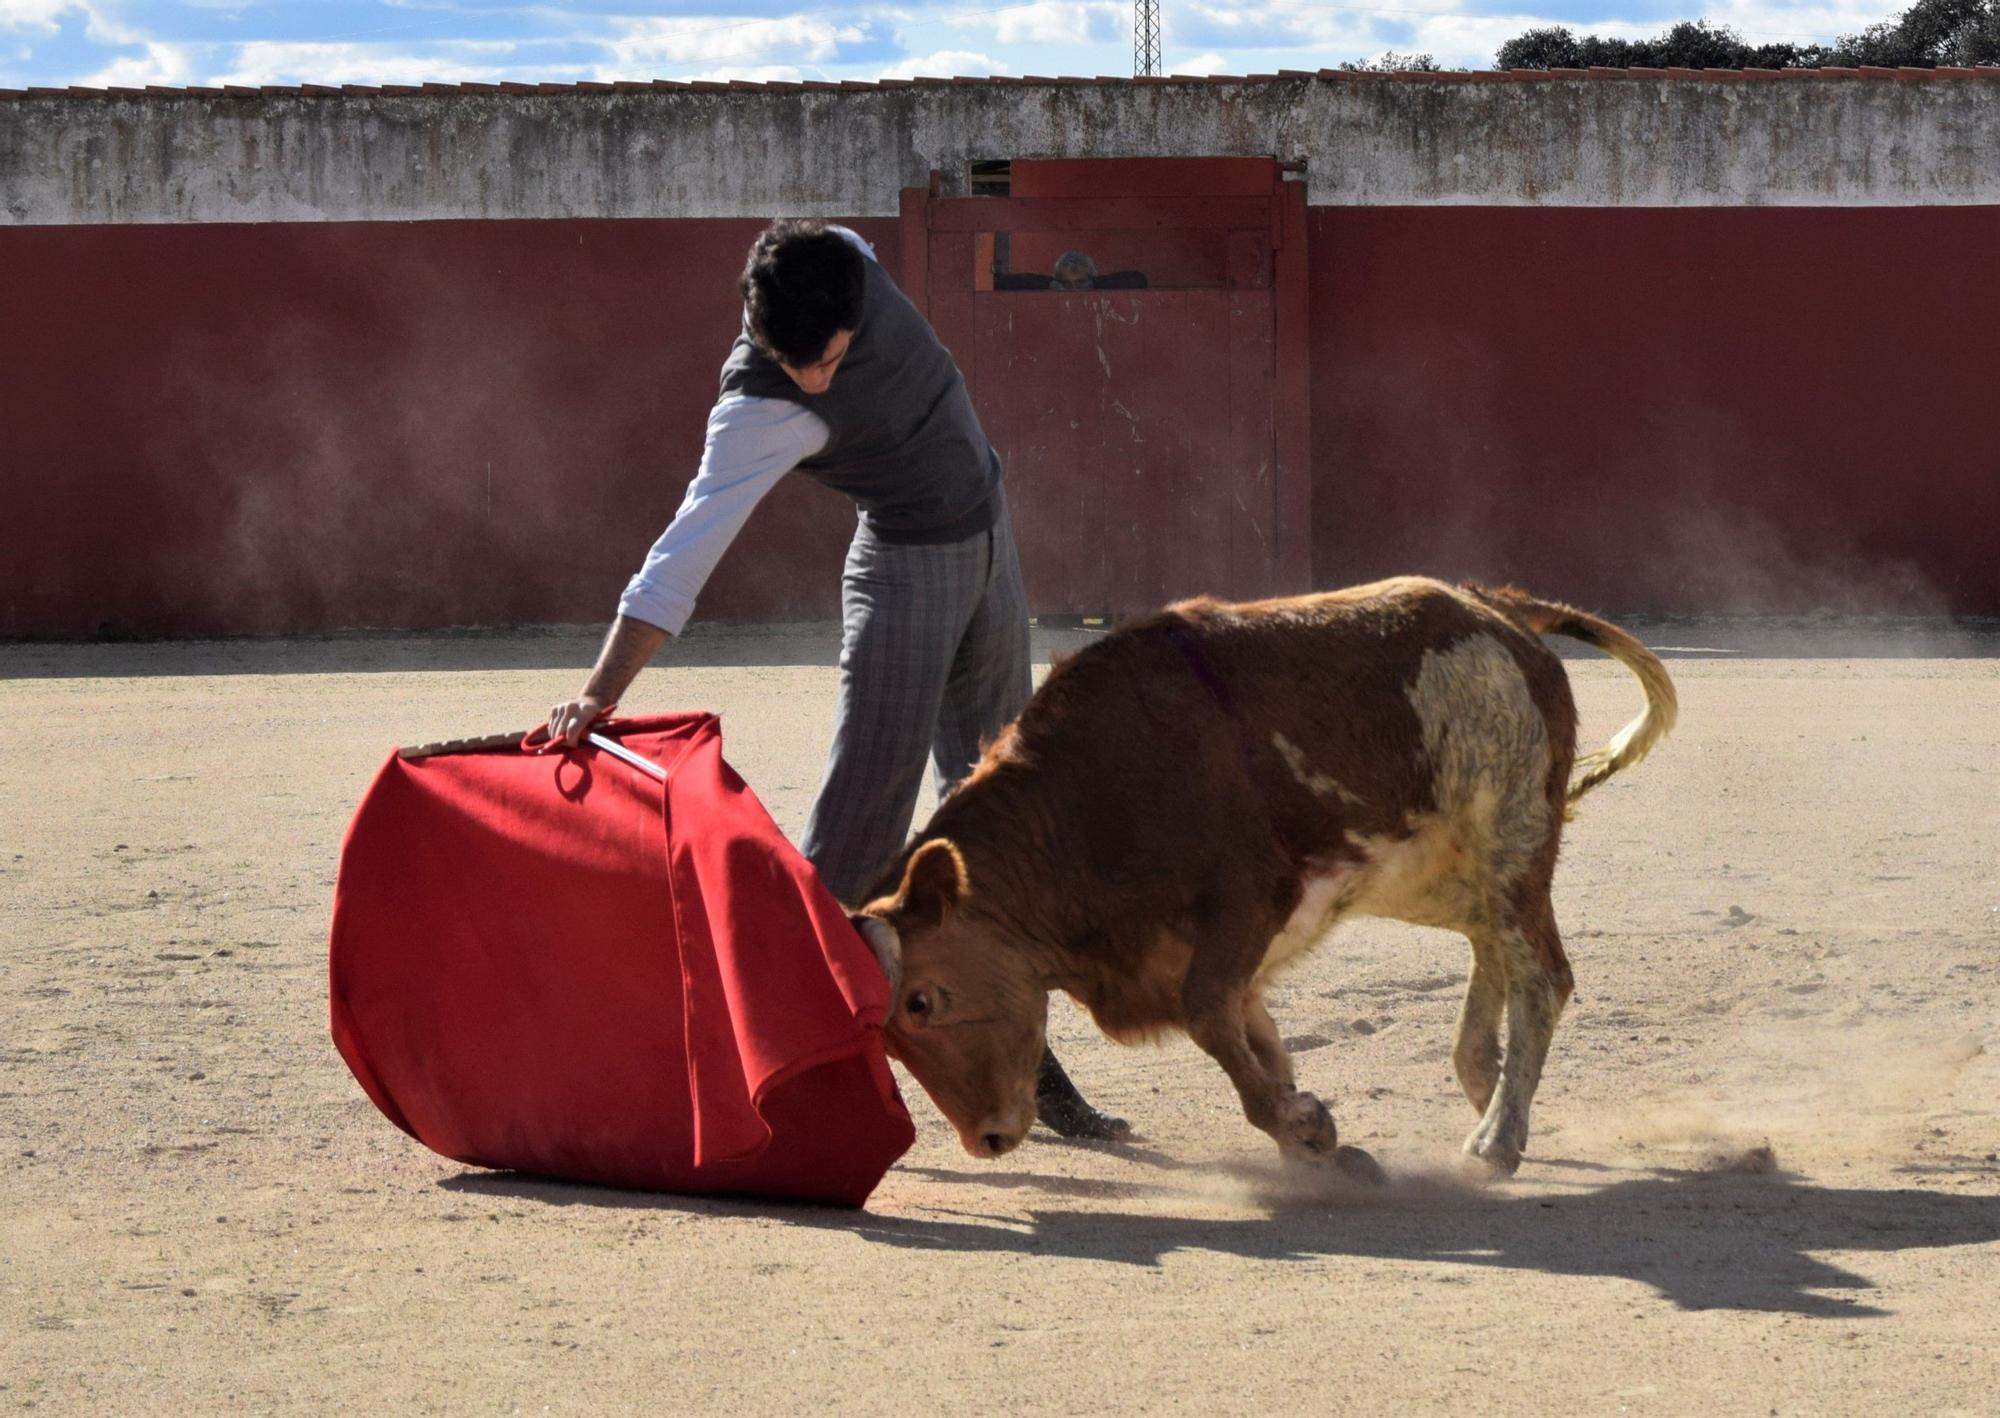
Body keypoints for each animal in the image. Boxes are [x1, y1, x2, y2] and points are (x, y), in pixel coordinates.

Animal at [844, 572, 1672, 1176]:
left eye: (920, 1002)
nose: (985, 1139)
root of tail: (1498, 608)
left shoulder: (1248, 901)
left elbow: (1211, 1015)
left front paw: (1303, 1125)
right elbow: (1254, 1036)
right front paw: (1309, 1130)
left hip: (1511, 840)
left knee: (1543, 976)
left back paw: (1496, 1139)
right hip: (1442, 871)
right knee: (1493, 945)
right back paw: (1483, 1083)